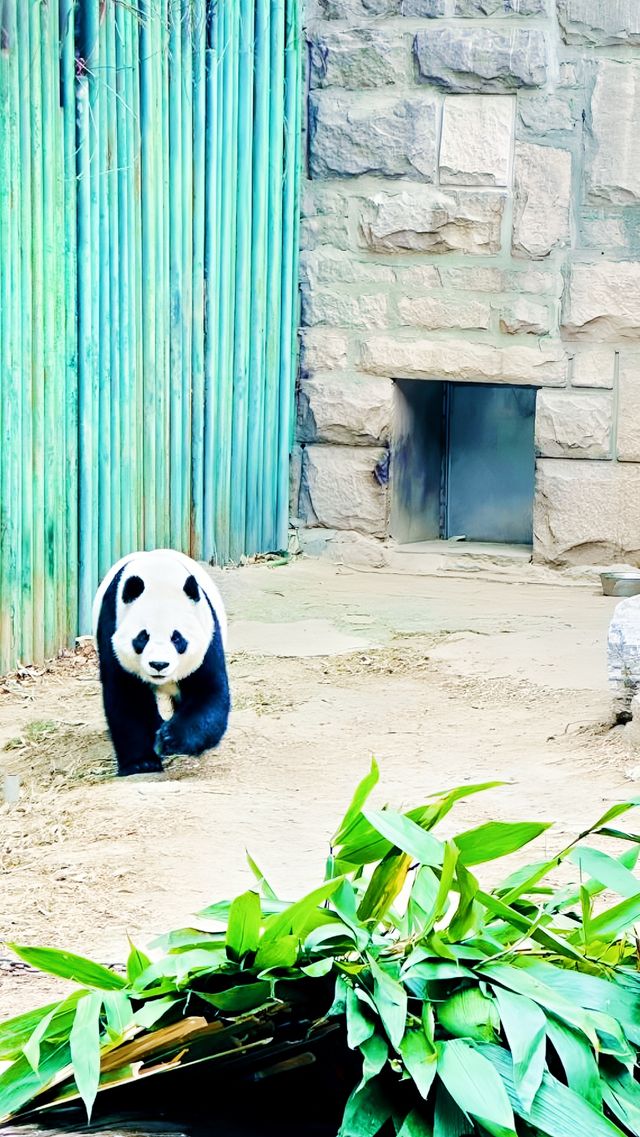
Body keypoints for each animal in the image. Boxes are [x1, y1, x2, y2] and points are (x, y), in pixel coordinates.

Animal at [90, 545, 230, 777]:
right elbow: (128, 699)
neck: (159, 577)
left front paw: (170, 739)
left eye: (177, 638)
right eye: (142, 637)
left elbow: (208, 692)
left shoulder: (208, 636)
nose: (159, 665)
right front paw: (142, 763)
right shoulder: (112, 624)